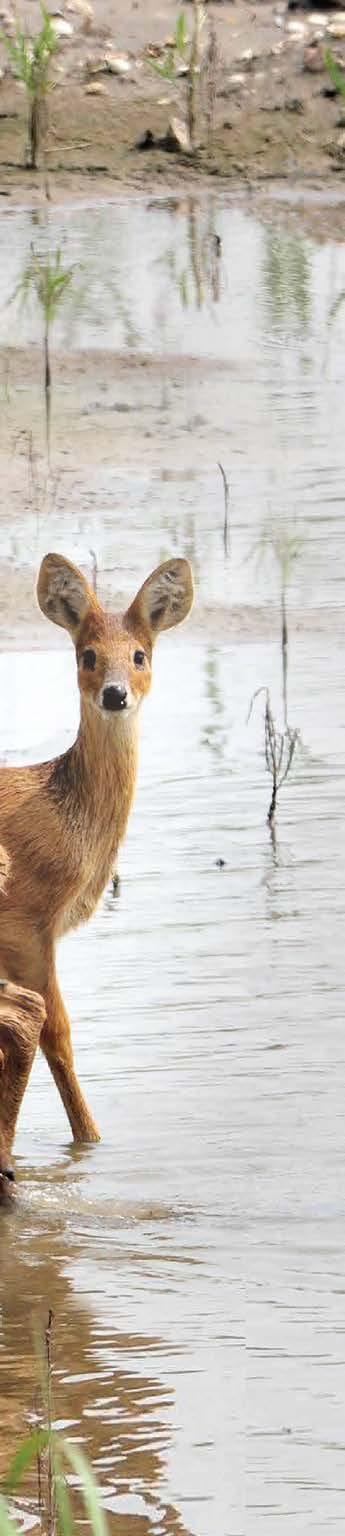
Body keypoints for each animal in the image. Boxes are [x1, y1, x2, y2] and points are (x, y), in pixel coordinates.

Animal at [0, 552, 193, 1198]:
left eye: (139, 654)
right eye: (86, 655)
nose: (114, 694)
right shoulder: (28, 924)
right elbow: (57, 1033)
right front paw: (90, 1141)